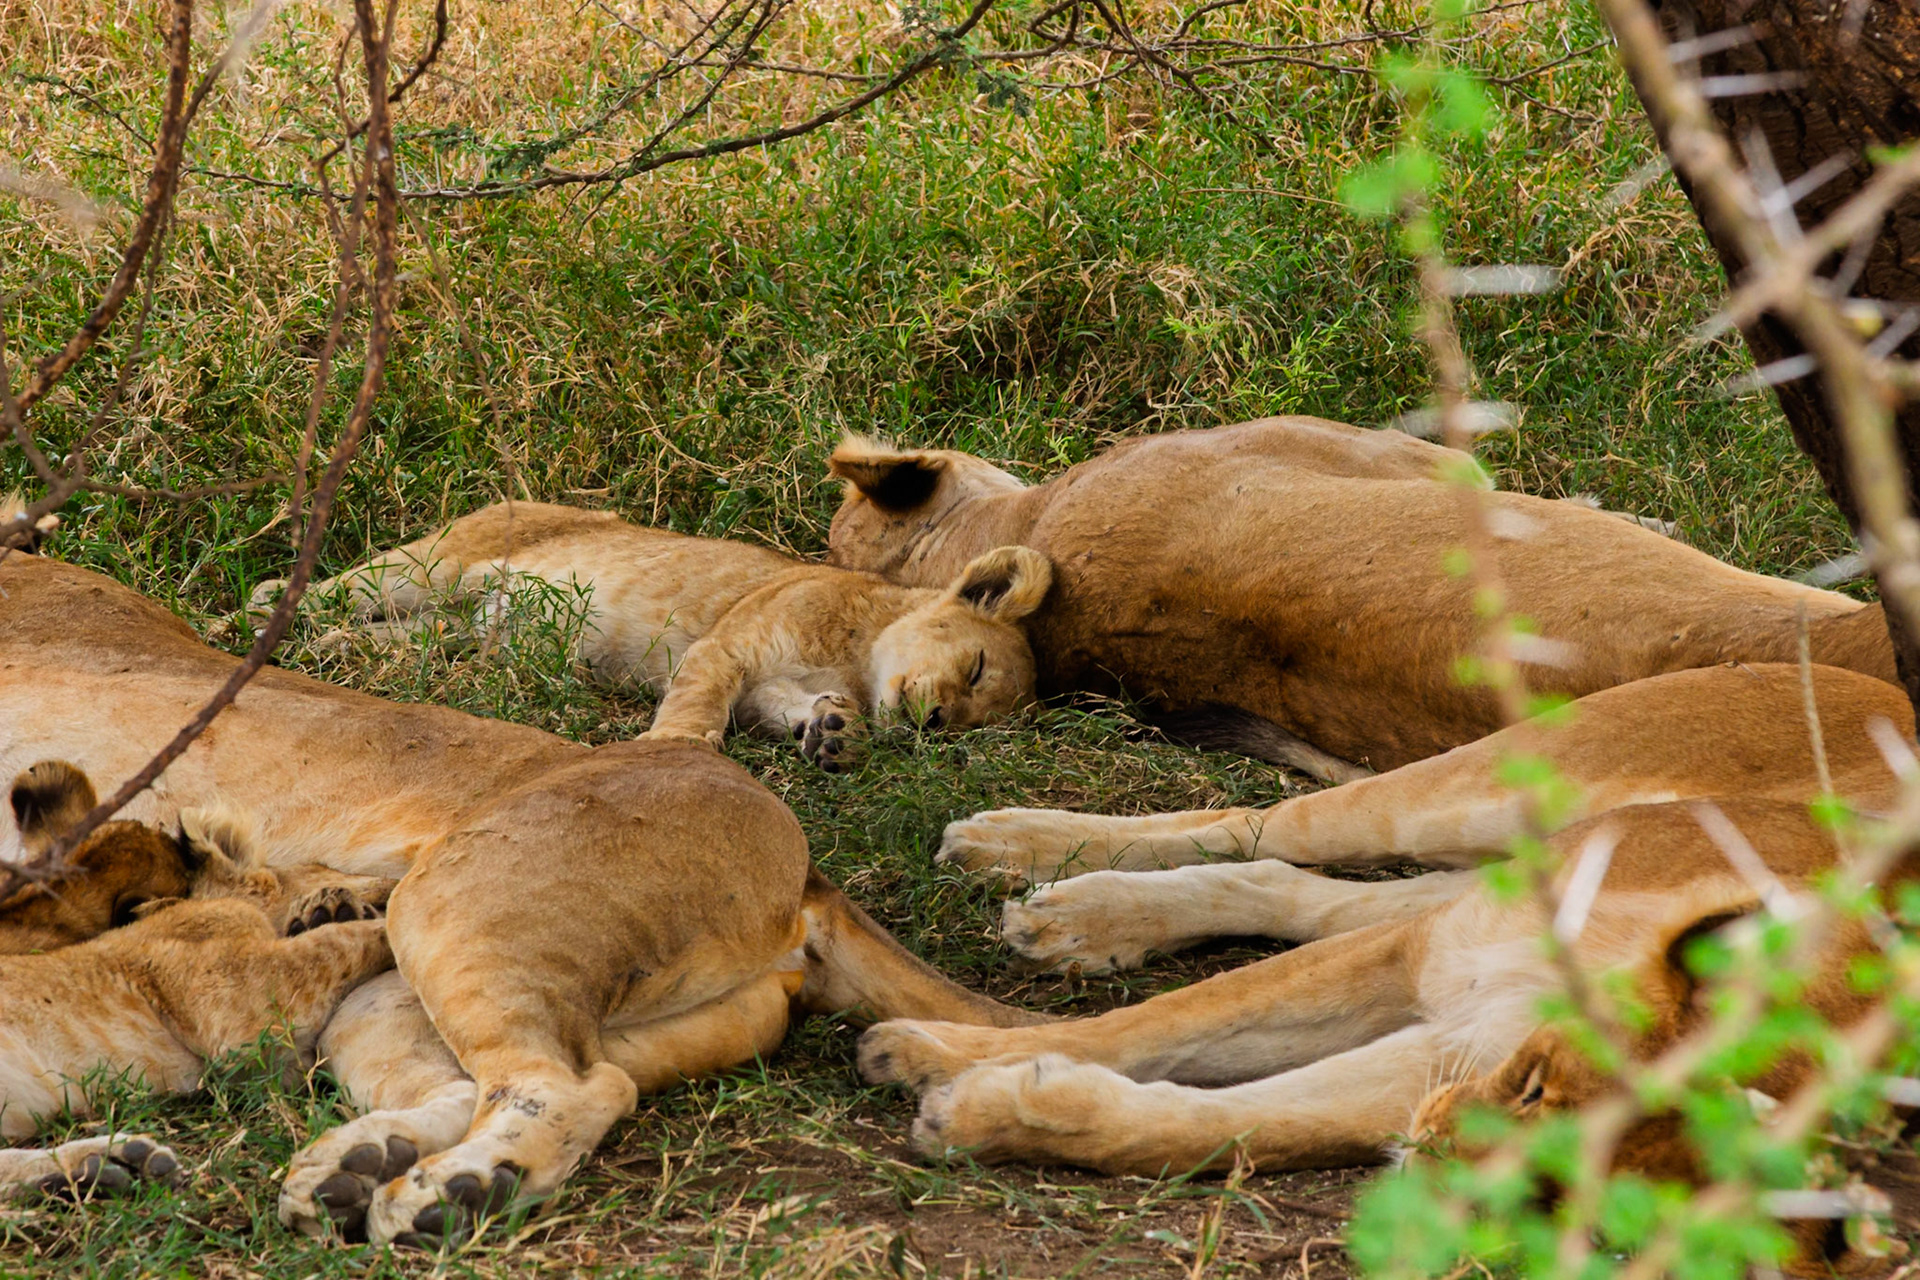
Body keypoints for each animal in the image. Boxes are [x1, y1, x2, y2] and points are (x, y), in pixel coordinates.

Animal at [0, 761, 393, 1200]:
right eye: (327, 866)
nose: (393, 878)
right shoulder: (236, 1003)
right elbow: (341, 942)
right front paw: (366, 917)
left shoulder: (264, 1067)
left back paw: (113, 1165)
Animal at [258, 502, 1052, 770]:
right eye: (976, 666)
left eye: (975, 723)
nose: (936, 721)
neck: (860, 656)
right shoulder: (729, 648)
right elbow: (699, 704)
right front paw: (675, 748)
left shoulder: (769, 688)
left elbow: (793, 711)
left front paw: (835, 735)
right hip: (434, 567)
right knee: (311, 589)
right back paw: (260, 618)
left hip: (447, 629)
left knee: (401, 640)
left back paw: (330, 649)